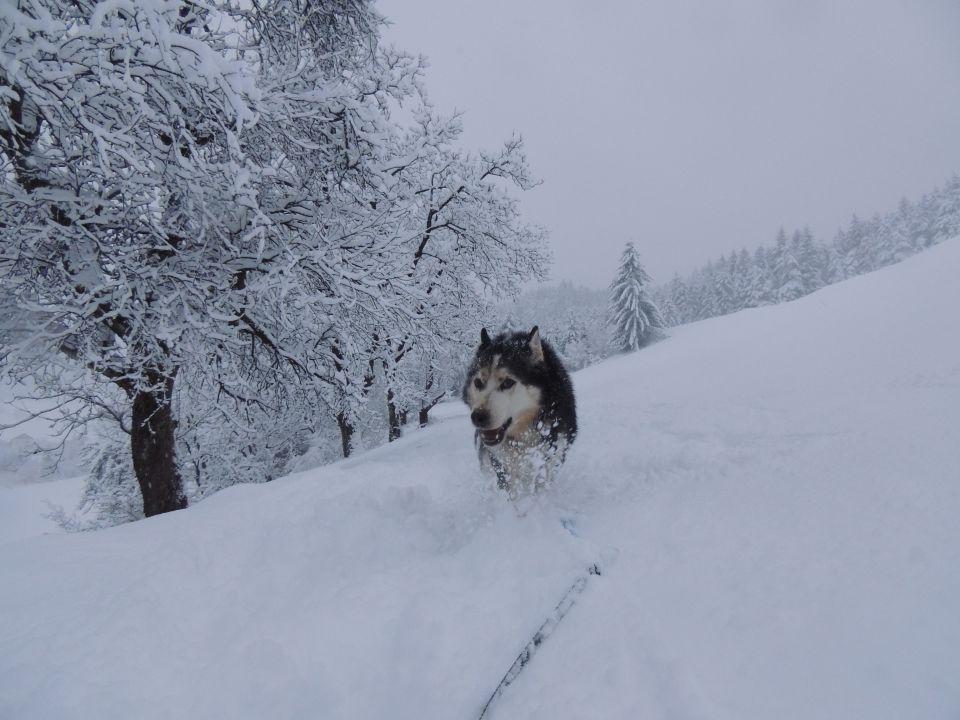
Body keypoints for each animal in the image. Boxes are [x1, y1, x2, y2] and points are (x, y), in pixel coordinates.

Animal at [464, 326, 576, 496]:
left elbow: (540, 486)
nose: (477, 417)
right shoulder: (501, 465)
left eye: (507, 382)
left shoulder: (553, 455)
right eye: (478, 382)